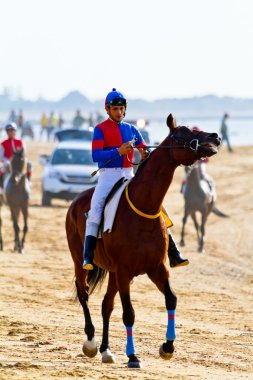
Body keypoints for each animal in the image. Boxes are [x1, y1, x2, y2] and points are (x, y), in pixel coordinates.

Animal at [65, 113, 221, 368]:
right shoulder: (125, 271)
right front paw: (132, 356)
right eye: (183, 133)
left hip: (113, 273)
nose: (215, 136)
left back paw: (106, 350)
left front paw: (167, 346)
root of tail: (76, 201)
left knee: (106, 305)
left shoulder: (156, 267)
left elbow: (171, 299)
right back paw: (90, 343)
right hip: (80, 261)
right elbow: (129, 313)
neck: (143, 207)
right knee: (84, 293)